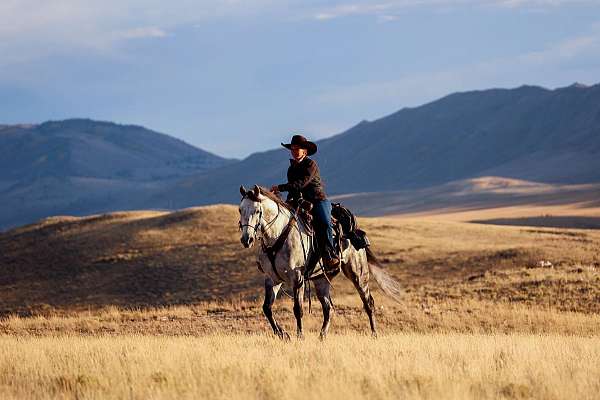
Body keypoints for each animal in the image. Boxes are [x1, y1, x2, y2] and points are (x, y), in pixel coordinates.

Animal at [237, 184, 400, 338]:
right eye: (240, 210)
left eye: (257, 211)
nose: (247, 239)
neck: (278, 235)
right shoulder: (273, 279)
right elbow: (267, 308)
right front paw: (283, 335)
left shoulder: (297, 278)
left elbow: (298, 309)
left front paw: (299, 336)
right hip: (321, 280)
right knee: (329, 308)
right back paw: (322, 336)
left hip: (358, 274)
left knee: (368, 303)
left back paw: (374, 334)